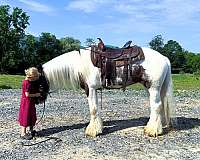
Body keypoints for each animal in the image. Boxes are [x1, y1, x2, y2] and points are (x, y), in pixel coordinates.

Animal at [41, 45, 175, 137]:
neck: (82, 64)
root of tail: (164, 58)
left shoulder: (91, 89)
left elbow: (93, 109)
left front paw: (92, 131)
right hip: (151, 88)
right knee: (158, 106)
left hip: (153, 88)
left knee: (157, 106)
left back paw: (152, 131)